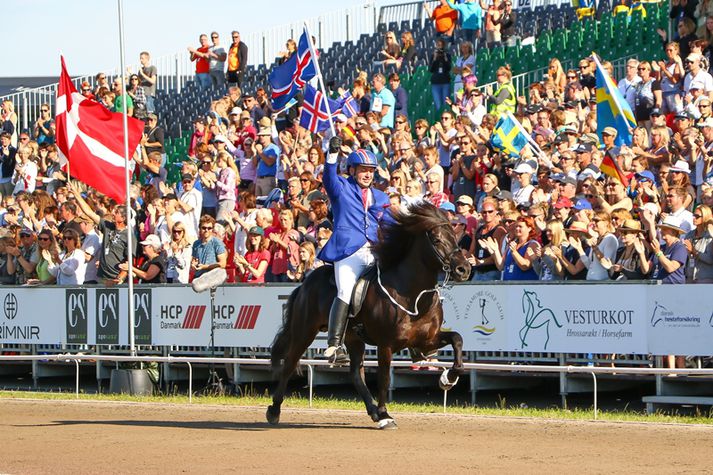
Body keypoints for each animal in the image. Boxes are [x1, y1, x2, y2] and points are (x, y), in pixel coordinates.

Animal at [264, 203, 470, 430]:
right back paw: (274, 410)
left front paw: (448, 379)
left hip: (353, 338)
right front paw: (385, 414)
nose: (464, 269)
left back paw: (372, 411)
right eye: (437, 240)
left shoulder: (426, 341)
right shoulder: (386, 345)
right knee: (290, 364)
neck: (413, 295)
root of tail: (305, 283)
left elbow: (457, 339)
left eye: (455, 237)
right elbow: (384, 379)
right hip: (304, 332)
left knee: (356, 374)